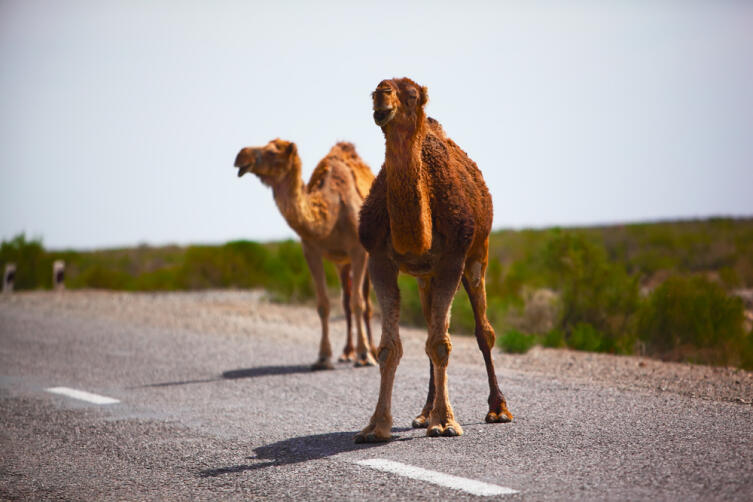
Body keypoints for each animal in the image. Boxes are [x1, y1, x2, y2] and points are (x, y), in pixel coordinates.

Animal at [356, 76, 516, 442]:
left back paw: (498, 409)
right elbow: (389, 348)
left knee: (483, 331)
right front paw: (375, 426)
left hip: (478, 254)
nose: (382, 93)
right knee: (431, 325)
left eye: (412, 94)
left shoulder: (453, 258)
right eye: (374, 91)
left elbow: (442, 343)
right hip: (424, 276)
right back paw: (423, 412)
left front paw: (444, 423)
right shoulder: (379, 259)